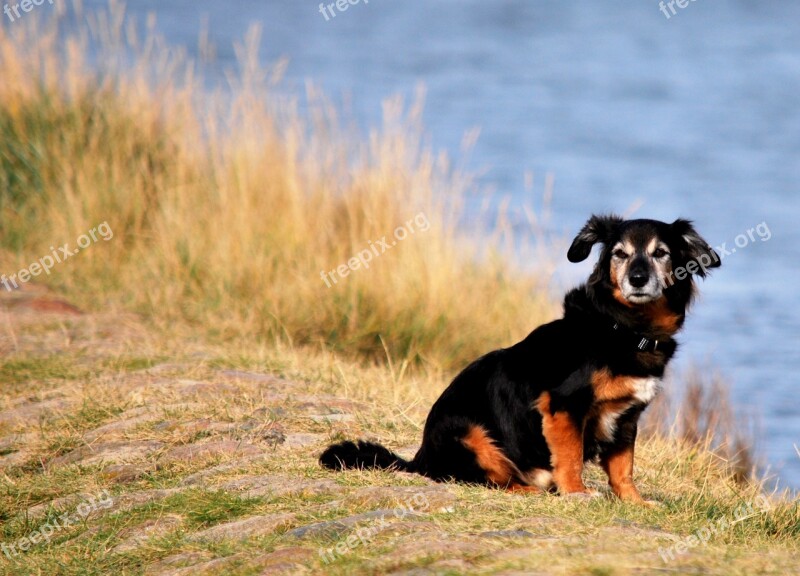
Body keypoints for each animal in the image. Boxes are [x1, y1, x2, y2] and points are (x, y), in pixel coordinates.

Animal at [318, 214, 720, 502]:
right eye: (620, 254)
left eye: (660, 253)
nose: (637, 279)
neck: (626, 327)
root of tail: (421, 459)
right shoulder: (562, 405)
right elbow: (570, 455)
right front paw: (576, 492)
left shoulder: (627, 416)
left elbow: (624, 467)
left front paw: (634, 501)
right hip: (468, 433)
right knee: (487, 481)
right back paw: (530, 489)